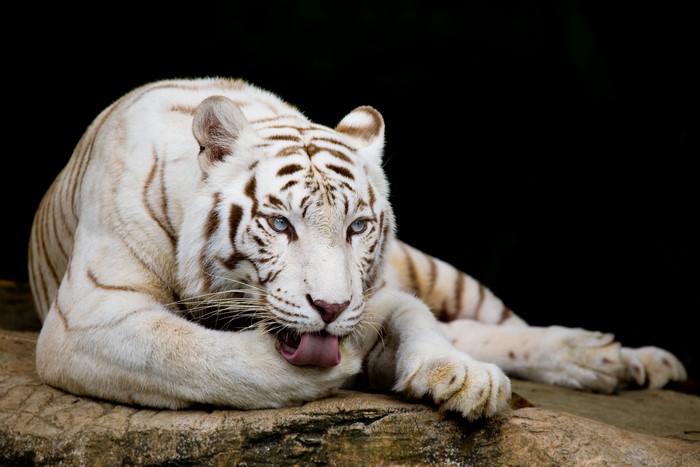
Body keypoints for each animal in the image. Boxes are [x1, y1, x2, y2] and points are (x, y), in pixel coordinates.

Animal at [28, 77, 687, 421]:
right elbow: (194, 355)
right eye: (280, 224)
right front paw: (341, 367)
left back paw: (620, 359)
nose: (331, 308)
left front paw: (465, 378)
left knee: (495, 324)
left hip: (434, 270)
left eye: (357, 228)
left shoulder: (381, 292)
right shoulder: (89, 317)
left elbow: (419, 320)